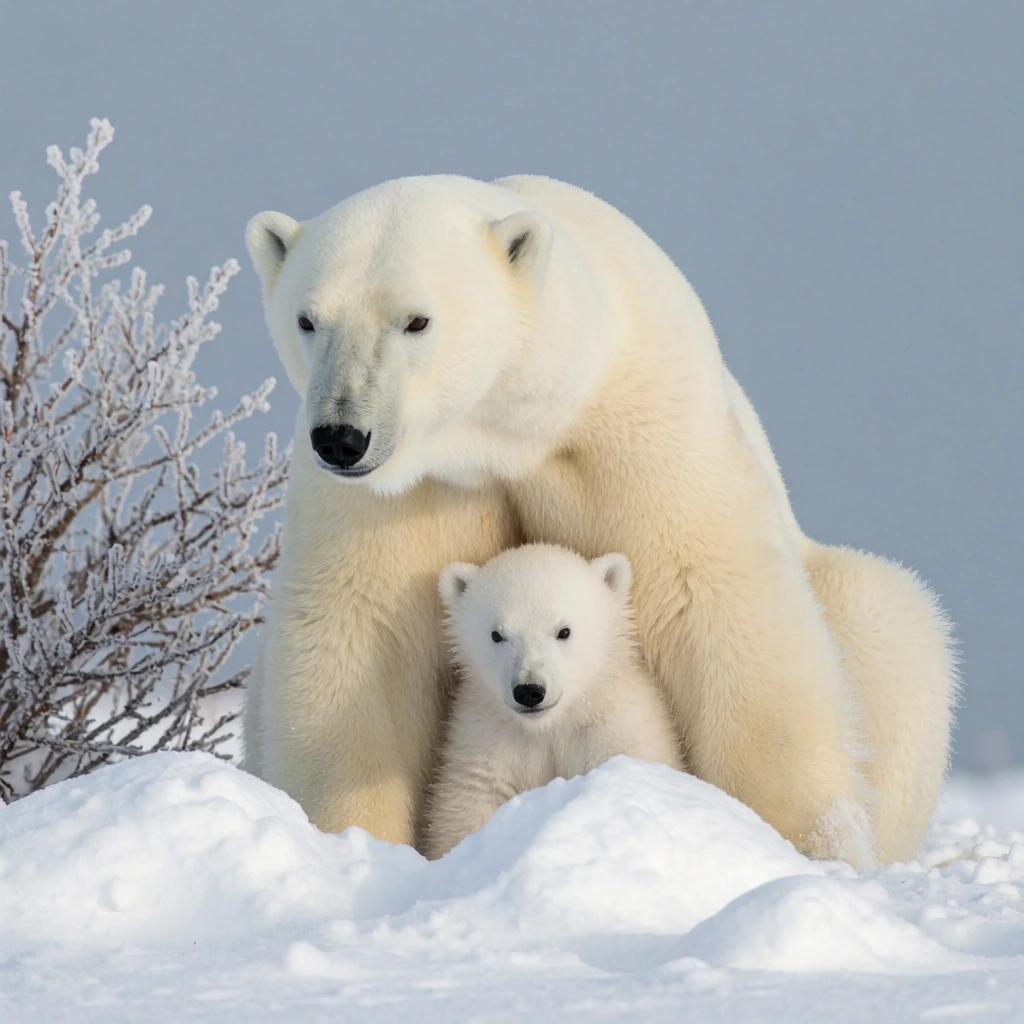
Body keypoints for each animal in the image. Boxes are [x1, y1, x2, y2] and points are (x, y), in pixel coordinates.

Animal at [425, 543, 685, 860]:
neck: (551, 726)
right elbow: (471, 800)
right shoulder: (486, 736)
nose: (529, 691)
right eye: (496, 634)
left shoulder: (615, 726)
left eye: (564, 631)